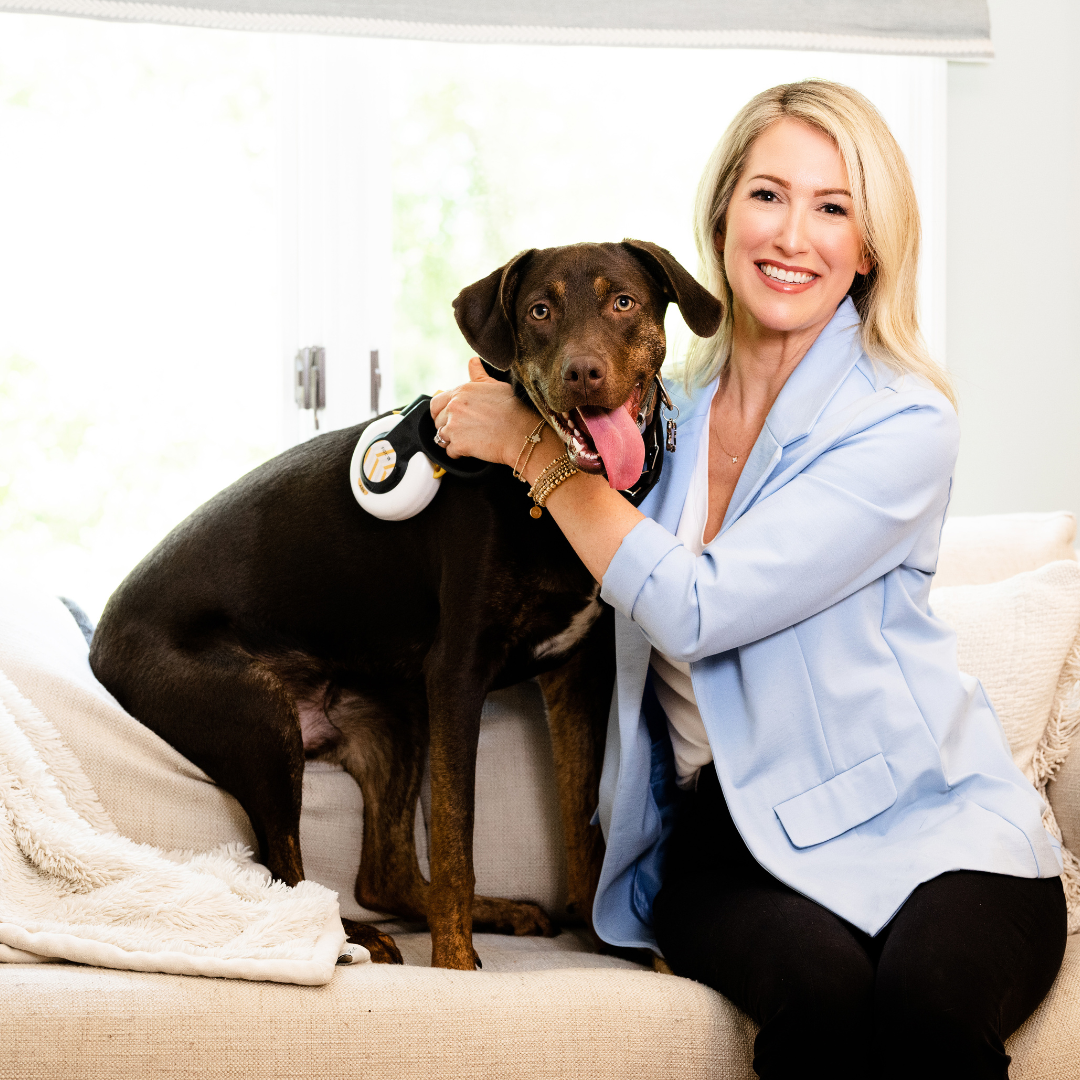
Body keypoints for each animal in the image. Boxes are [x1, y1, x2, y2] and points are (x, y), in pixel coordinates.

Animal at [88, 240, 721, 970]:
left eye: (623, 302)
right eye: (539, 310)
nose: (583, 373)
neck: (543, 498)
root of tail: (100, 638)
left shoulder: (572, 677)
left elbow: (581, 826)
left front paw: (608, 942)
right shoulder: (457, 678)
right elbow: (454, 844)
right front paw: (455, 963)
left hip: (393, 720)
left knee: (381, 875)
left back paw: (492, 911)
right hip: (257, 722)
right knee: (285, 875)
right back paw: (352, 938)